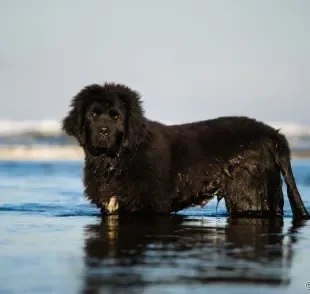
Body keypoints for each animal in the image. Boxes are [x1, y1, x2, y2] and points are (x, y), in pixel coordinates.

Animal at [62, 82, 310, 218]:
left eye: (116, 116)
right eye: (94, 114)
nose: (103, 131)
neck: (117, 161)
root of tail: (273, 134)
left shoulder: (150, 204)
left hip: (249, 195)